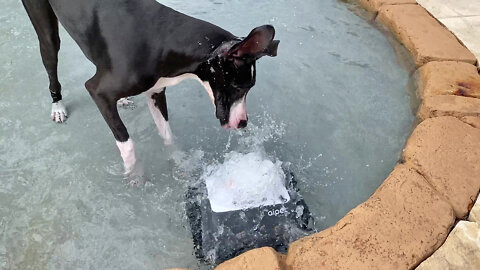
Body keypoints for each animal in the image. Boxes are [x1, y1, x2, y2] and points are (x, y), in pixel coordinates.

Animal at [21, 0, 278, 181]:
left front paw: (181, 163)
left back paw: (121, 99)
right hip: (47, 34)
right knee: (51, 64)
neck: (162, 41)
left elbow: (168, 135)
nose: (243, 123)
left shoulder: (156, 92)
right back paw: (57, 106)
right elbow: (126, 142)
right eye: (241, 87)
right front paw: (135, 175)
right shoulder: (96, 91)